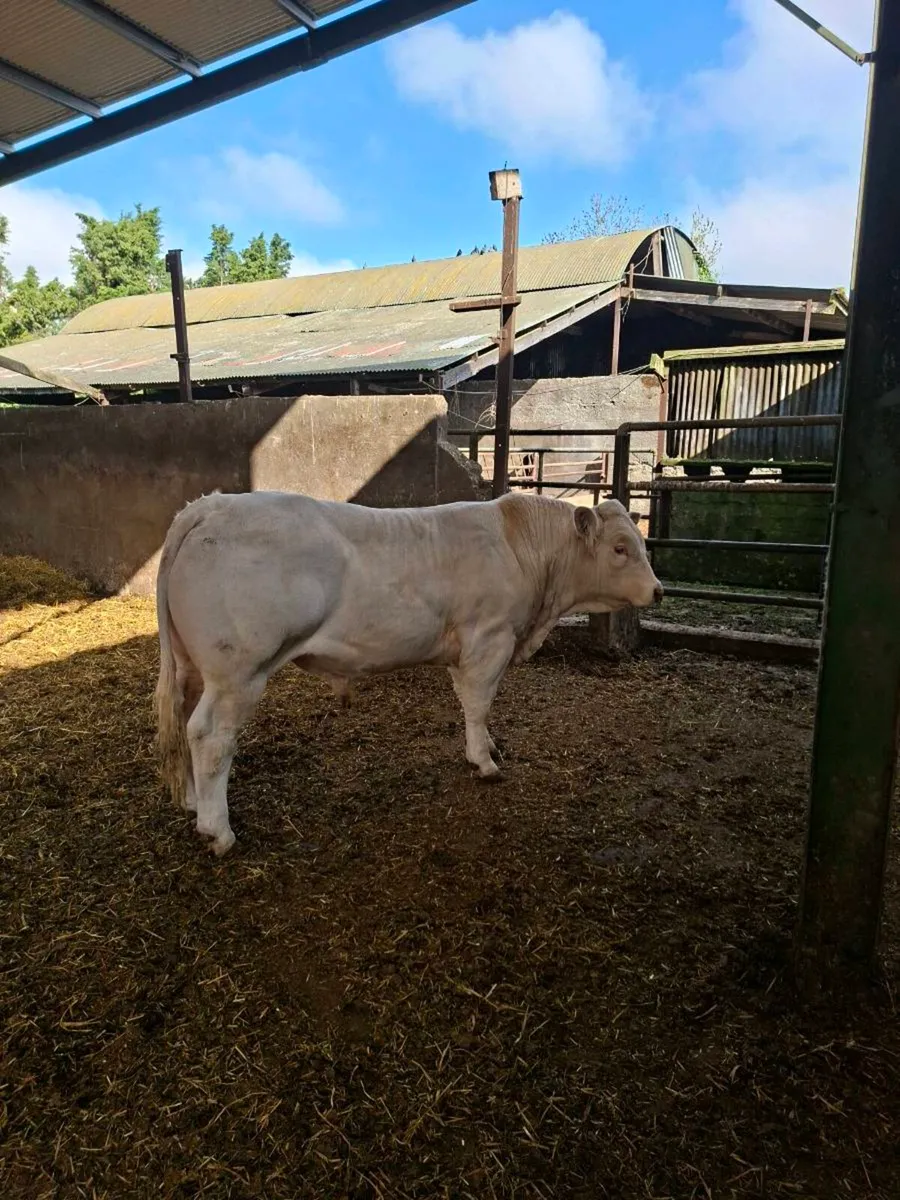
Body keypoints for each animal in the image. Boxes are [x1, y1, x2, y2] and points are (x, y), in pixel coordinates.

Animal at [155, 491, 663, 856]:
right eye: (620, 548)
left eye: (642, 544)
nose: (658, 590)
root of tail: (209, 505)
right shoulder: (490, 638)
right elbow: (478, 703)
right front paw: (484, 761)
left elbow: (468, 701)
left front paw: (487, 746)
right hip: (239, 671)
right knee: (210, 737)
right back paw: (217, 830)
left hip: (194, 667)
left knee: (184, 722)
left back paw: (193, 801)